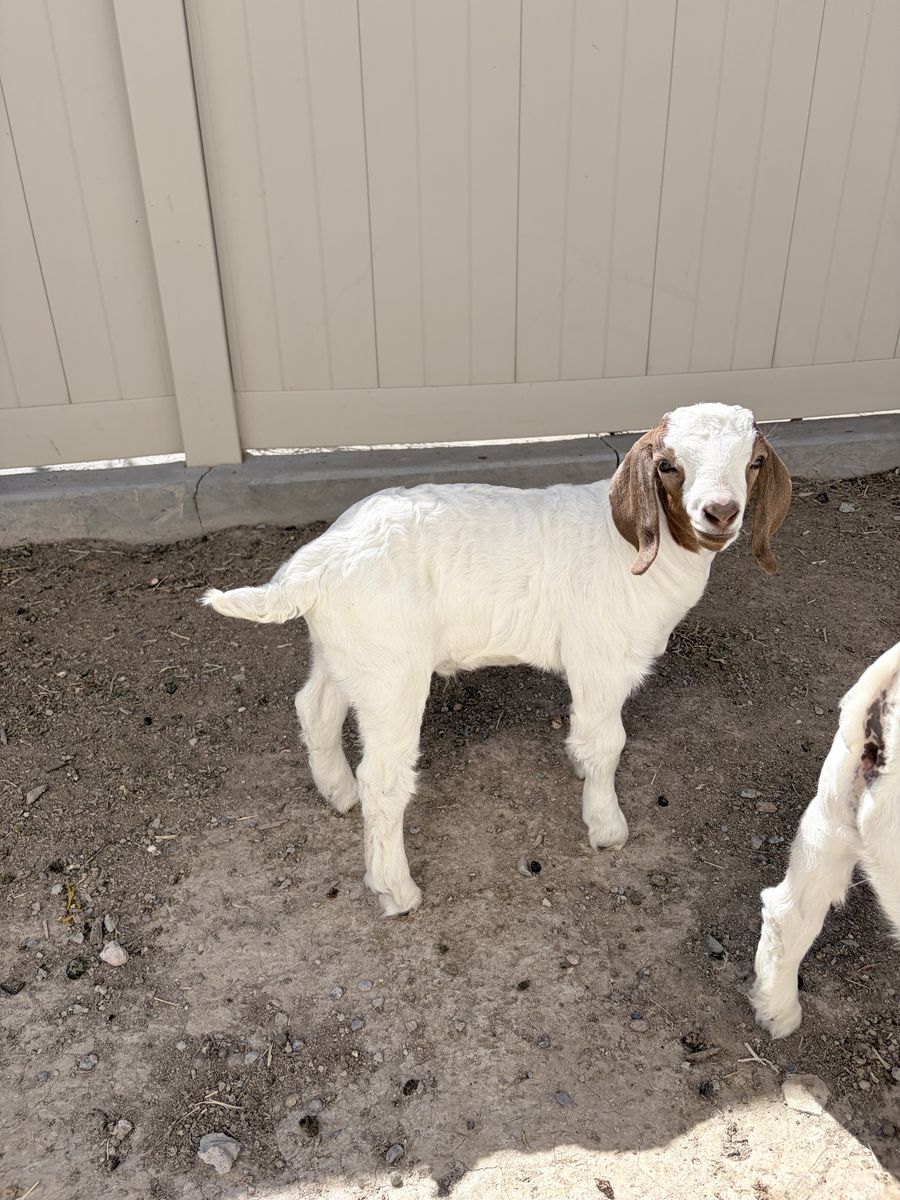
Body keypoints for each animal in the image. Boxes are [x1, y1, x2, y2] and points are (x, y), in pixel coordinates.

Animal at [203, 402, 790, 916]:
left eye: (754, 461)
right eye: (667, 465)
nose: (719, 513)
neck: (633, 547)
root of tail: (315, 567)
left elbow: (586, 734)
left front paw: (579, 768)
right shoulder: (600, 659)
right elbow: (608, 743)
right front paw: (606, 827)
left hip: (346, 651)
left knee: (315, 709)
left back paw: (338, 793)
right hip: (392, 673)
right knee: (384, 779)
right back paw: (395, 890)